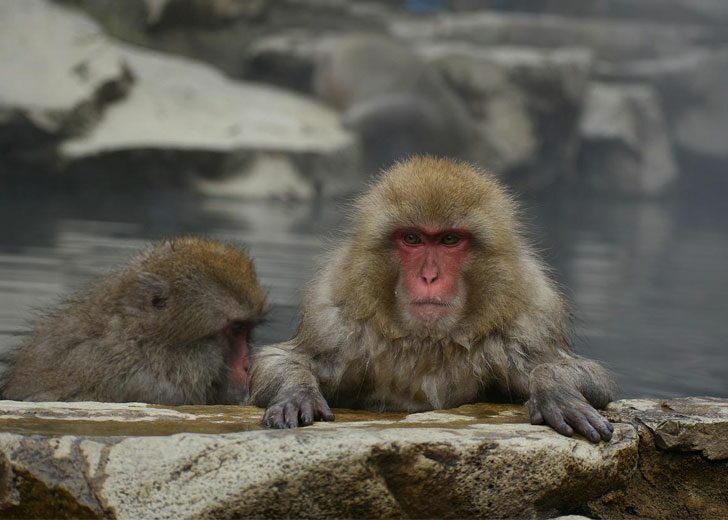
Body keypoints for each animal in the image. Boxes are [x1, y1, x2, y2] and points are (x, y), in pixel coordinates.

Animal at [250, 156, 616, 442]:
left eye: (449, 240)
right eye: (412, 238)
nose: (429, 277)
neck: (430, 341)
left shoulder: (527, 325)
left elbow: (589, 375)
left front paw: (555, 388)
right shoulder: (336, 322)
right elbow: (280, 359)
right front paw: (298, 391)